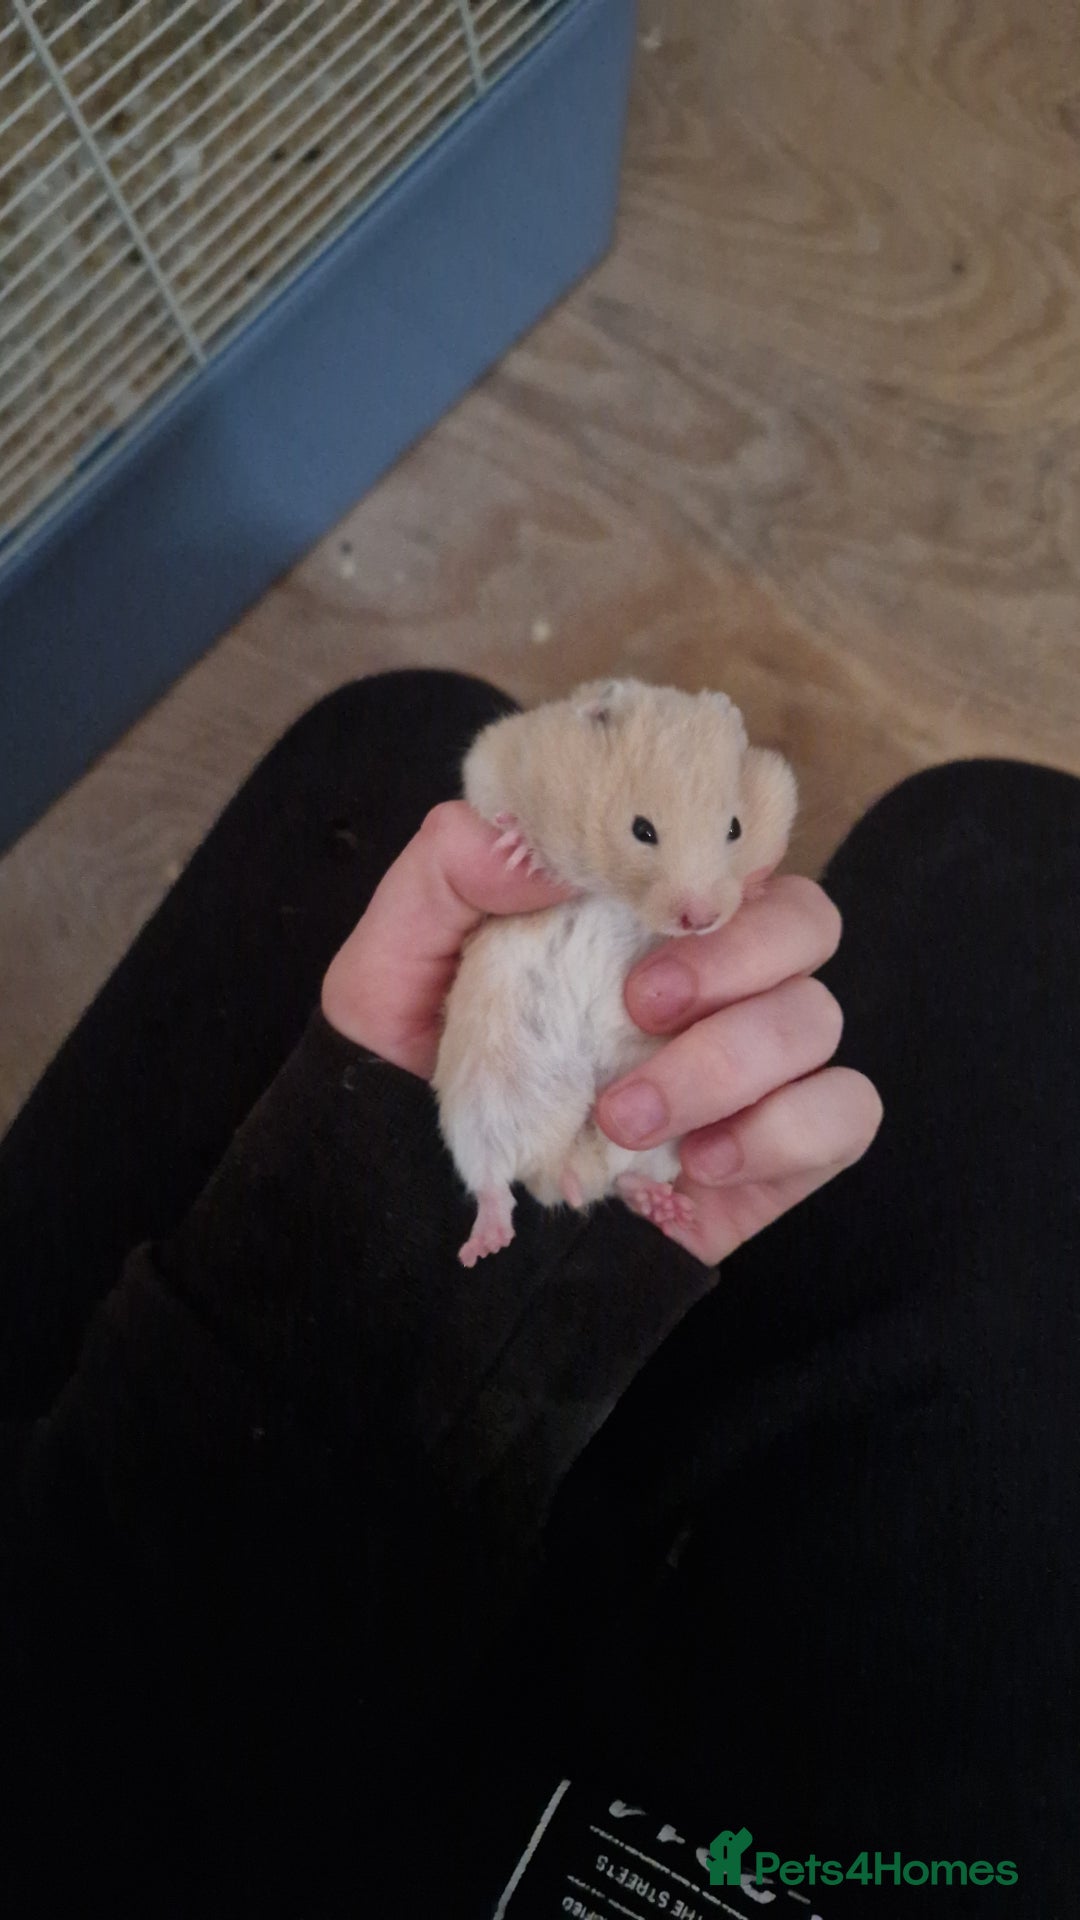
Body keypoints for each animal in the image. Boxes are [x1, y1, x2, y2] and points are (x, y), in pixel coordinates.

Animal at [433, 678, 797, 1266]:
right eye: (641, 830)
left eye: (735, 827)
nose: (701, 921)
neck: (619, 891)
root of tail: (566, 1171)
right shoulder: (497, 755)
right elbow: (495, 806)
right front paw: (520, 851)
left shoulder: (776, 788)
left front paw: (759, 886)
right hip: (479, 1100)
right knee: (490, 1178)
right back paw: (482, 1247)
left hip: (660, 1141)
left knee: (623, 1180)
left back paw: (666, 1207)